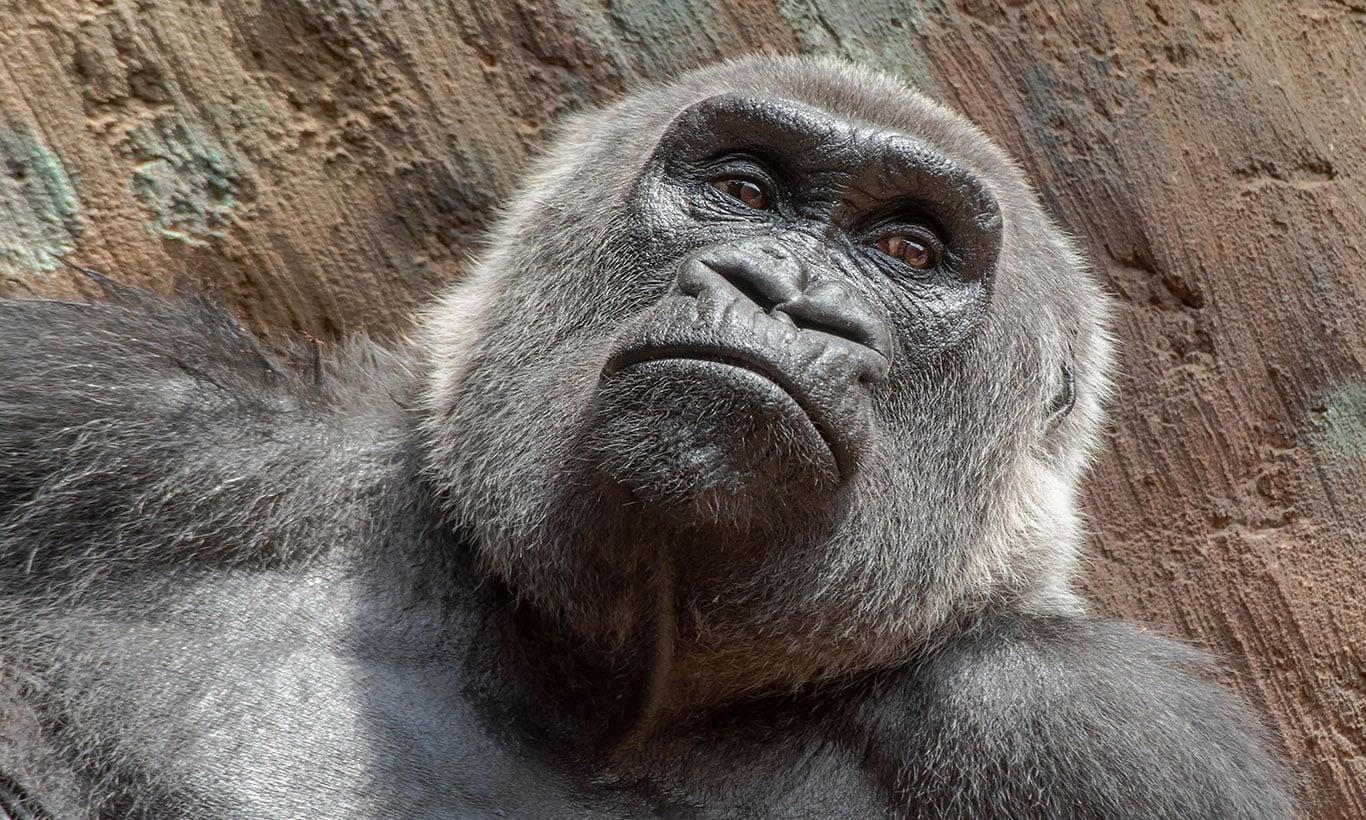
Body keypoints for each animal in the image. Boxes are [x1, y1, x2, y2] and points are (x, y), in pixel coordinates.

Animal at [0, 55, 1296, 818]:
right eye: (743, 189)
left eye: (908, 250)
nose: (780, 293)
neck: (616, 701)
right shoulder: (137, 424)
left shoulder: (1103, 743)